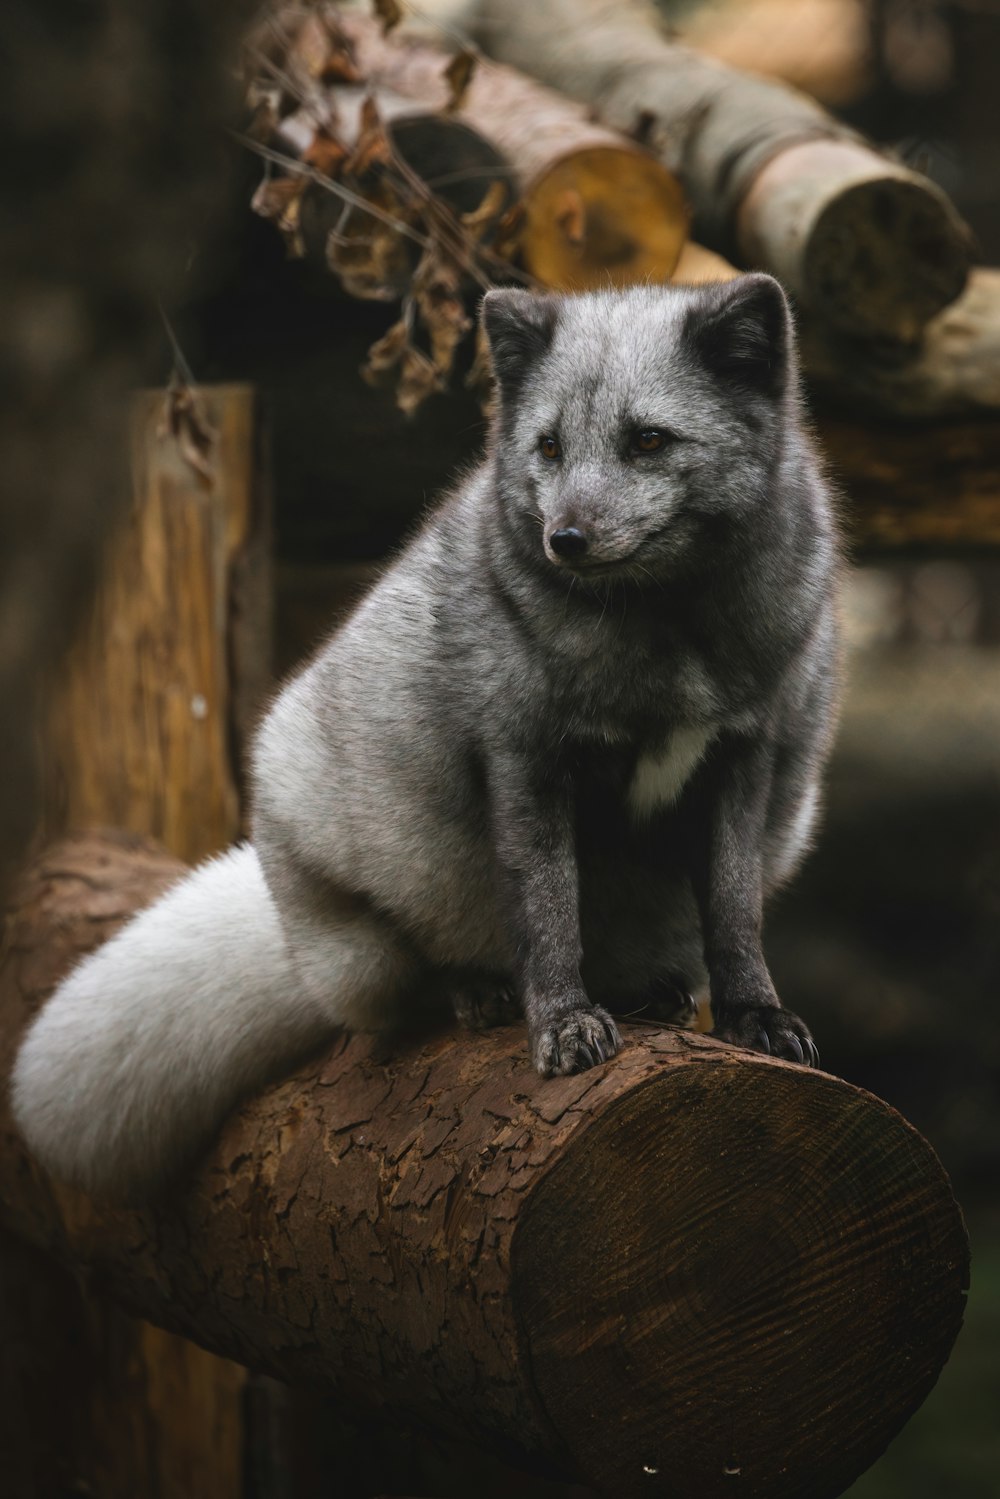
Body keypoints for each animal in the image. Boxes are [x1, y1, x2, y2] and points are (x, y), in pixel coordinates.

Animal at [11, 275, 839, 1199]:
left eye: (649, 440)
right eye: (549, 446)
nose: (565, 539)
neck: (668, 638)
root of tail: (292, 934)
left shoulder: (745, 756)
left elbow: (733, 907)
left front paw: (753, 1013)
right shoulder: (526, 758)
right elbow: (547, 908)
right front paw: (561, 1026)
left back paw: (647, 992)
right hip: (364, 895)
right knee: (403, 986)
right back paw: (477, 992)